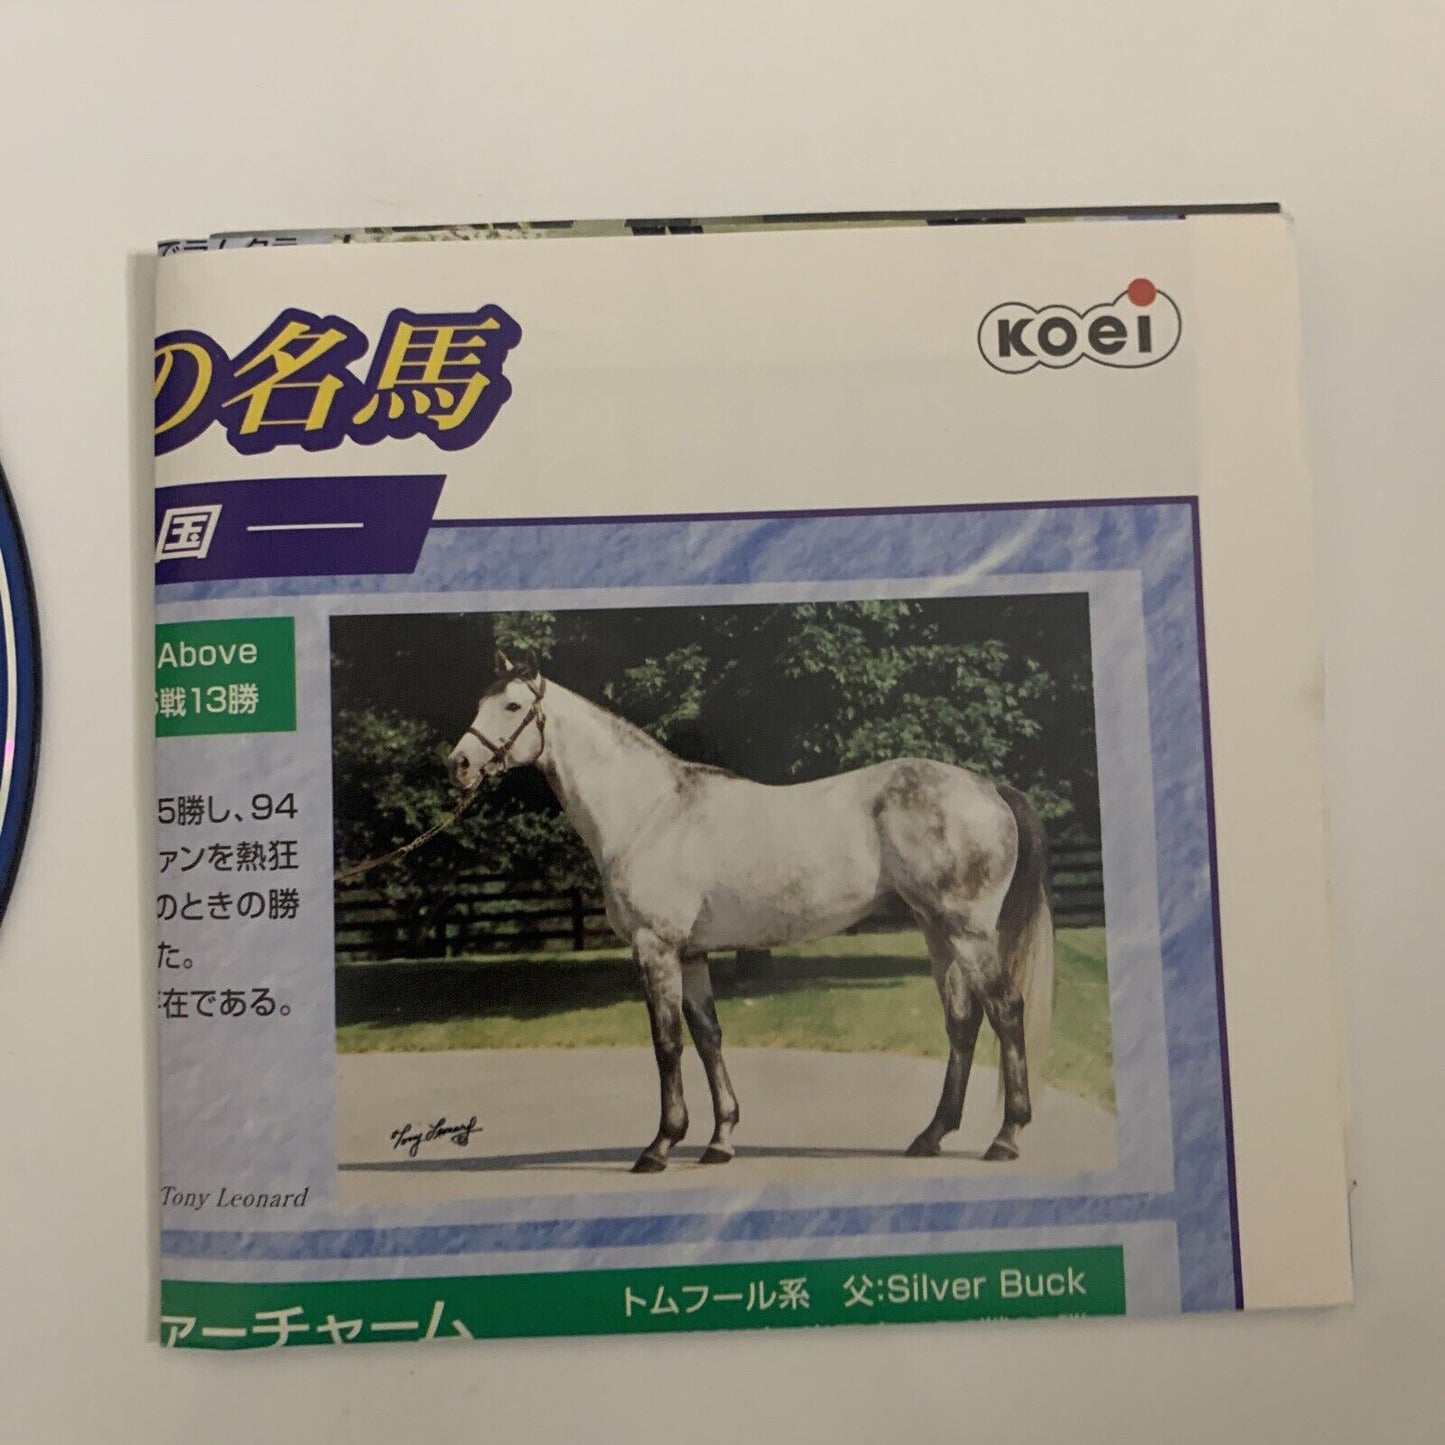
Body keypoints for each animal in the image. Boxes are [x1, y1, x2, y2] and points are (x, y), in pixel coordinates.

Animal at [447, 649, 1055, 1175]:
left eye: (512, 706)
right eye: (479, 701)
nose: (459, 764)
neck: (649, 811)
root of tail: (989, 788)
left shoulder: (655, 947)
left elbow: (667, 1044)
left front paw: (660, 1145)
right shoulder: (690, 953)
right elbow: (708, 1036)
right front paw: (720, 1141)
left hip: (968, 932)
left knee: (1005, 1010)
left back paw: (1006, 1137)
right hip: (936, 931)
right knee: (962, 1021)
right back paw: (931, 1135)